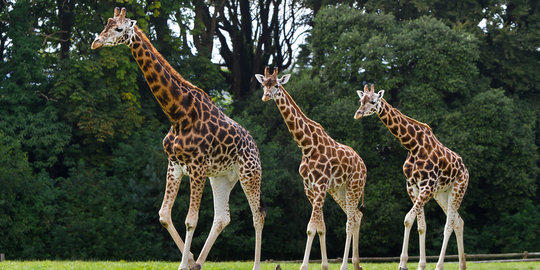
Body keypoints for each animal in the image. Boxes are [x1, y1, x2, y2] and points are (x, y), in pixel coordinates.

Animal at [92, 6, 266, 270]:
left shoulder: (196, 167)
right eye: (106, 24)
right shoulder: (174, 165)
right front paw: (191, 260)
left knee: (258, 215)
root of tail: (254, 145)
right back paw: (200, 262)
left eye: (119, 28)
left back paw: (255, 265)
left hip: (249, 174)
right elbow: (164, 215)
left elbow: (191, 219)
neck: (178, 114)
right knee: (222, 217)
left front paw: (184, 264)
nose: (96, 42)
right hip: (222, 178)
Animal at [256, 67, 368, 270]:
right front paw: (324, 265)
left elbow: (311, 228)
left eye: (277, 85)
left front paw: (304, 266)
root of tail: (363, 164)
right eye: (263, 85)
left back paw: (345, 265)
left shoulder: (321, 186)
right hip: (339, 191)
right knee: (356, 215)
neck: (307, 146)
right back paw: (356, 264)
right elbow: (320, 227)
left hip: (354, 187)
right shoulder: (310, 188)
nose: (266, 96)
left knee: (350, 220)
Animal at [354, 84, 468, 270]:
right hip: (442, 194)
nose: (358, 113)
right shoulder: (412, 186)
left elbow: (408, 219)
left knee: (449, 224)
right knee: (459, 222)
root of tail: (465, 170)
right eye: (360, 100)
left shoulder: (427, 186)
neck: (413, 146)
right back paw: (462, 265)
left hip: (458, 189)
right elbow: (420, 226)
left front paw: (403, 264)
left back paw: (439, 265)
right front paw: (419, 265)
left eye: (373, 101)